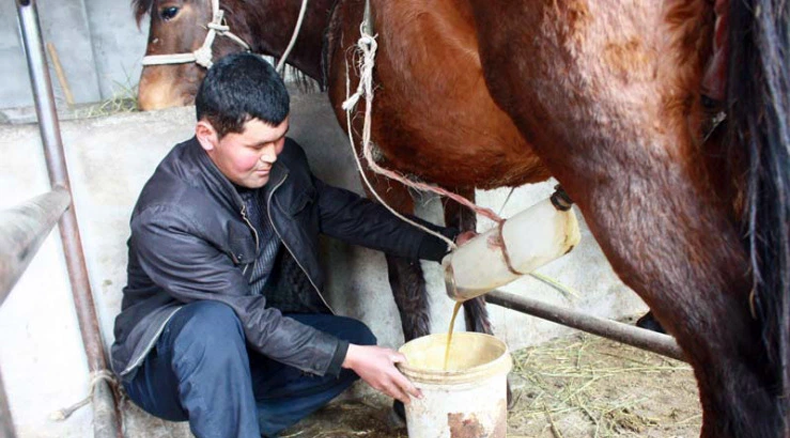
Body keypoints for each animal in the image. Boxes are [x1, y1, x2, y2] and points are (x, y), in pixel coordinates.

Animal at [133, 1, 788, 436]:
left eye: (167, 8)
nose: (145, 102)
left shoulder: (383, 173)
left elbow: (403, 279)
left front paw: (405, 401)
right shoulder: (451, 168)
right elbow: (461, 259)